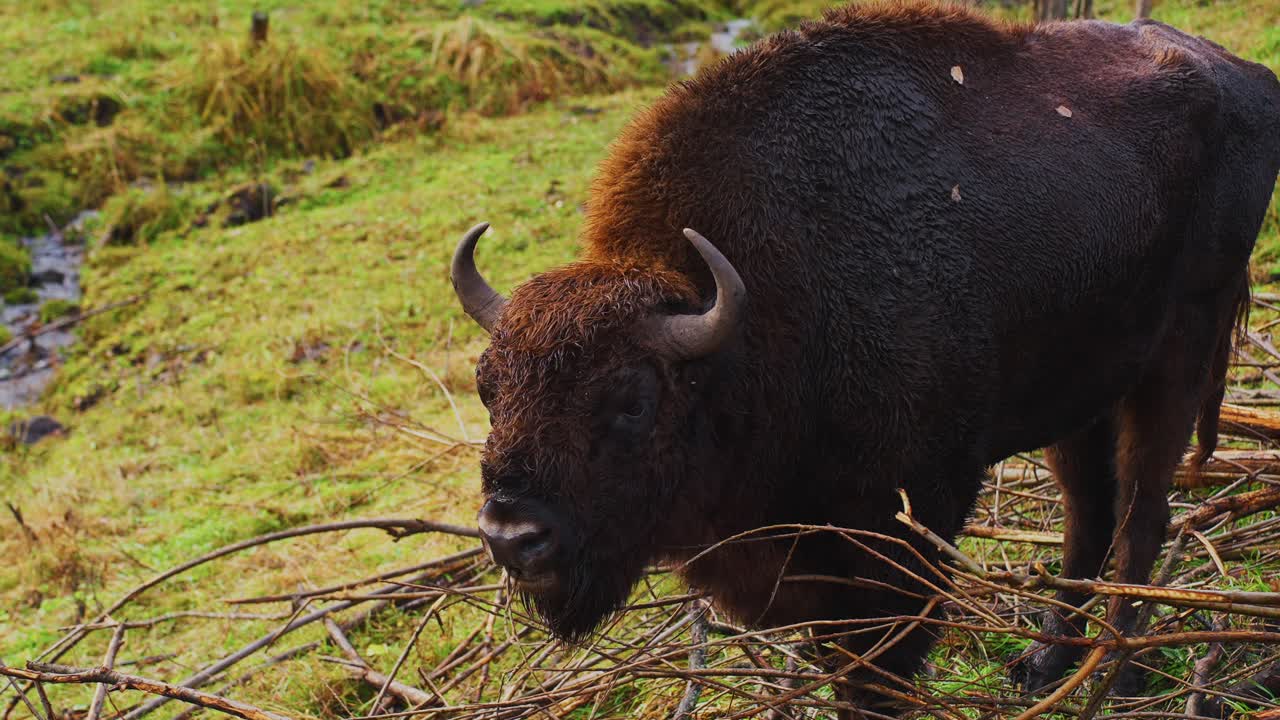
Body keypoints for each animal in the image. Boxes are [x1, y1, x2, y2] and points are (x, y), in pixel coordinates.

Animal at [451, 2, 1280, 714]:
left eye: (630, 399)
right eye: (489, 388)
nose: (512, 536)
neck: (750, 321)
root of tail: (1245, 74)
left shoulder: (912, 515)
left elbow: (881, 662)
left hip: (1180, 352)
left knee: (1144, 510)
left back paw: (1122, 672)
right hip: (1084, 385)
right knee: (1090, 512)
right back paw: (1047, 662)